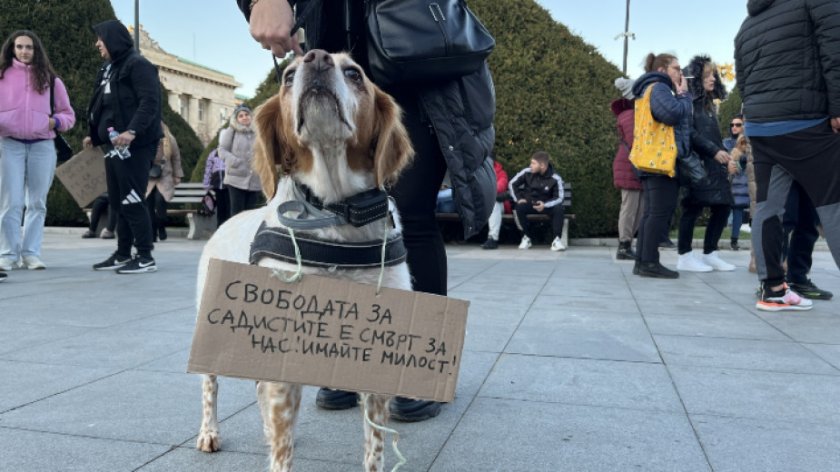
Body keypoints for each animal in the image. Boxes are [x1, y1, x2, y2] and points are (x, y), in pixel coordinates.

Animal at [191, 50, 414, 472]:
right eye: (288, 76)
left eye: (354, 73)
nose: (317, 57)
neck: (335, 214)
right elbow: (282, 449)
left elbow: (374, 446)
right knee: (210, 385)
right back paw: (209, 432)